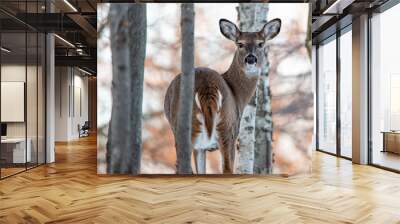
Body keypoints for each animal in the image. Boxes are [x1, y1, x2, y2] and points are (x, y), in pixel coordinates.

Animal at [163, 18, 282, 174]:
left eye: (260, 43)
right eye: (240, 44)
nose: (251, 59)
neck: (237, 93)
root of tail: (207, 86)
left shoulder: (201, 148)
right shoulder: (233, 132)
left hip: (184, 130)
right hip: (226, 128)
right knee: (227, 169)